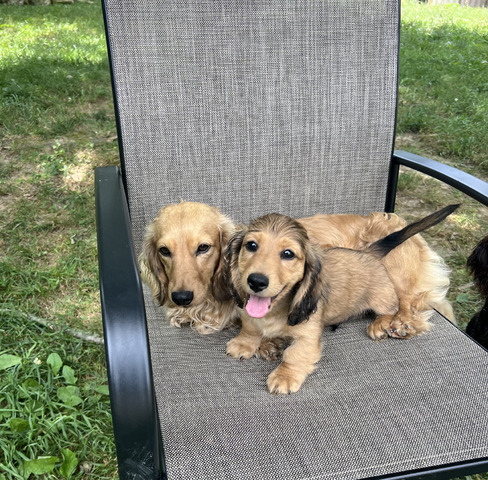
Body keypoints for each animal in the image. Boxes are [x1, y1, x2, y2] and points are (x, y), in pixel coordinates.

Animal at [224, 205, 458, 394]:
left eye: (288, 253)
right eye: (251, 246)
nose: (256, 281)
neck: (274, 311)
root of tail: (369, 252)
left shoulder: (308, 336)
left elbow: (295, 355)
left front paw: (284, 376)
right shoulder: (249, 315)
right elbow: (250, 328)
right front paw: (245, 343)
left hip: (385, 293)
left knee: (399, 306)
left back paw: (386, 324)